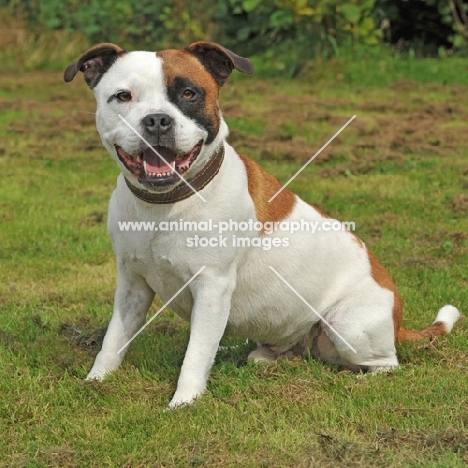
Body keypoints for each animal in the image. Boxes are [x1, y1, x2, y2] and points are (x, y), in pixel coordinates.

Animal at [65, 41, 460, 406]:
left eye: (190, 93)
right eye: (123, 96)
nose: (158, 120)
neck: (166, 204)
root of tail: (397, 319)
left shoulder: (212, 288)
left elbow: (195, 355)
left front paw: (184, 402)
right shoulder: (132, 285)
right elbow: (114, 340)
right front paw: (95, 381)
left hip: (348, 324)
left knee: (386, 362)